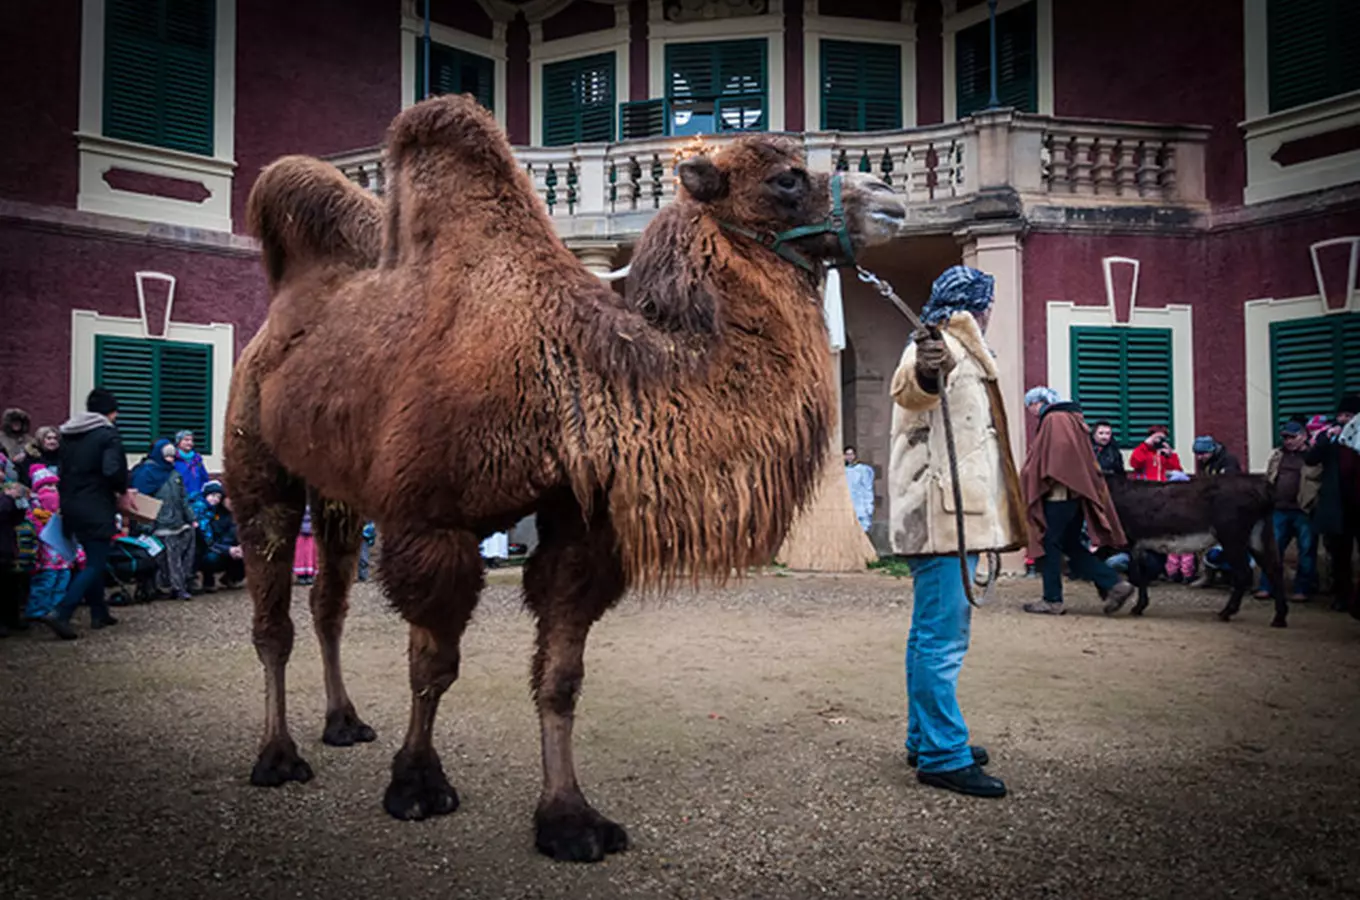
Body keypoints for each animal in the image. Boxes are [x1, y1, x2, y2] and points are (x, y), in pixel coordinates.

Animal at [225, 95, 903, 864]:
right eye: (786, 178)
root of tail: (276, 320)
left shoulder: (580, 528)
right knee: (273, 614)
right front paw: (417, 785)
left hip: (338, 494)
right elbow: (433, 666)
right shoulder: (431, 523)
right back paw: (277, 757)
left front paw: (569, 818)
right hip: (257, 461)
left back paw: (343, 722)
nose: (888, 198)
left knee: (328, 603)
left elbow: (561, 679)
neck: (575, 372)